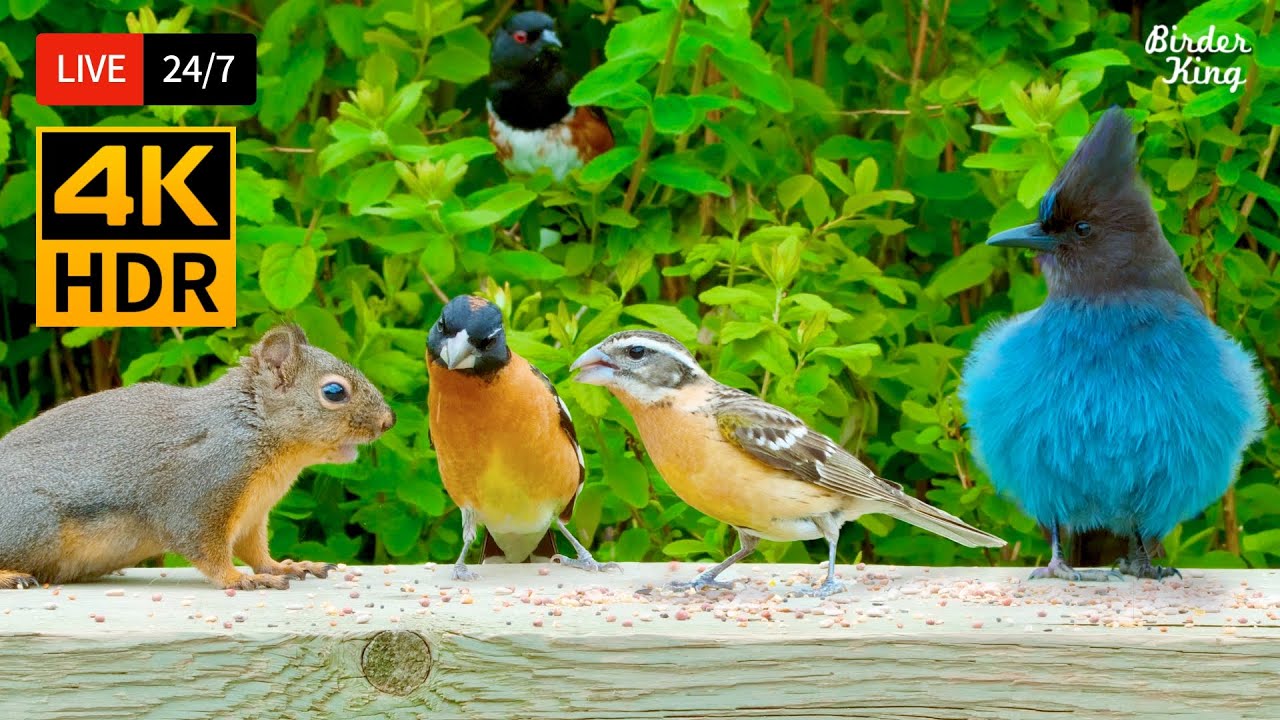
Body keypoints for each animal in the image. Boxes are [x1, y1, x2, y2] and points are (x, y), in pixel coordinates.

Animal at [0, 325, 396, 590]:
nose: (388, 421)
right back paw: (11, 576)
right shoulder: (200, 495)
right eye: (334, 392)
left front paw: (285, 566)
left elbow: (256, 552)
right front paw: (238, 578)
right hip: (33, 523)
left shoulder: (252, 516)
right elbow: (206, 548)